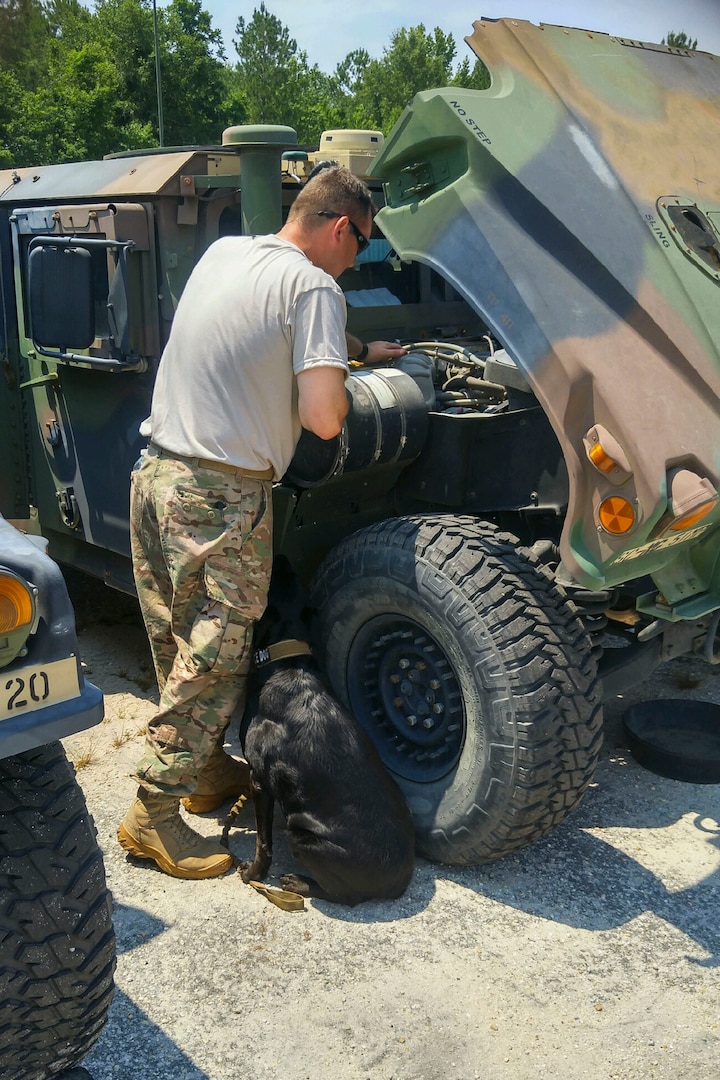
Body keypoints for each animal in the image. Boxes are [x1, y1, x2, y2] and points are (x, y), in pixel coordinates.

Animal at [236, 557, 414, 902]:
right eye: (290, 573)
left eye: (270, 579)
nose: (281, 555)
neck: (287, 661)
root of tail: (398, 883)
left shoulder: (258, 780)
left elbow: (262, 843)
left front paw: (253, 874)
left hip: (303, 836)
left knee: (344, 896)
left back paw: (298, 883)